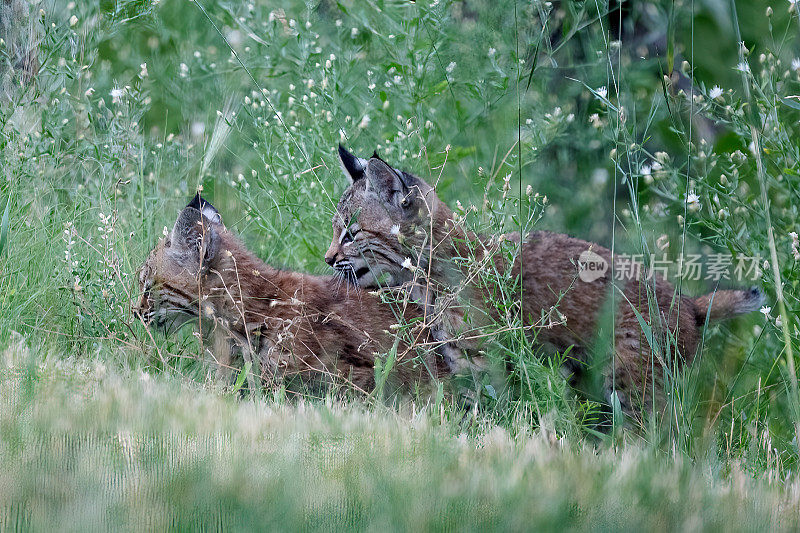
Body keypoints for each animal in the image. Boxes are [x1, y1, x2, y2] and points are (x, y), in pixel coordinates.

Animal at [324, 144, 764, 416]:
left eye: (351, 234)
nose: (328, 259)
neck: (427, 270)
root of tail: (688, 302)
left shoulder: (482, 361)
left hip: (632, 384)